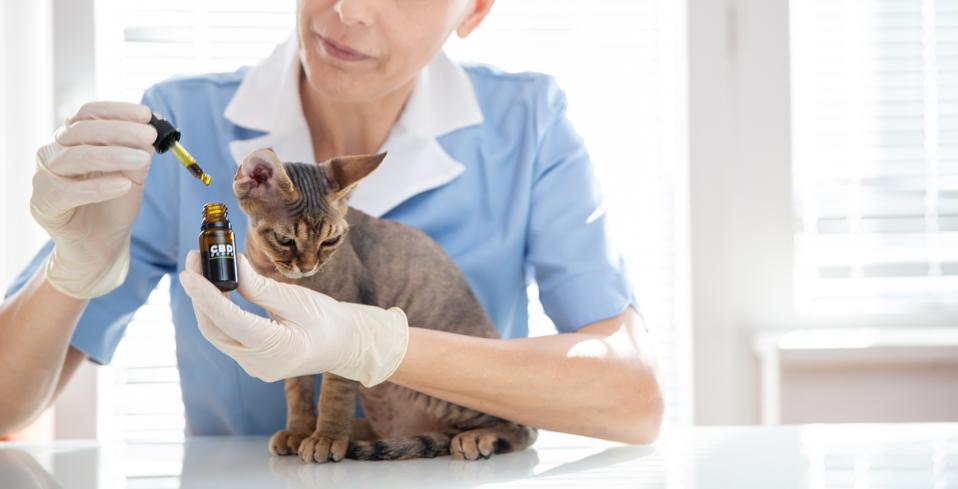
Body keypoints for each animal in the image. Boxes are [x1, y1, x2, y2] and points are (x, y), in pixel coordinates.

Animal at [230, 146, 536, 462]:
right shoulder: (292, 332)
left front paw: (327, 437)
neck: (279, 276)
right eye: (284, 239)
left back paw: (479, 437)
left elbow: (334, 394)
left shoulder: (341, 327)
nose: (308, 267)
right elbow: (296, 388)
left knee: (520, 427)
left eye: (331, 241)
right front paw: (298, 430)